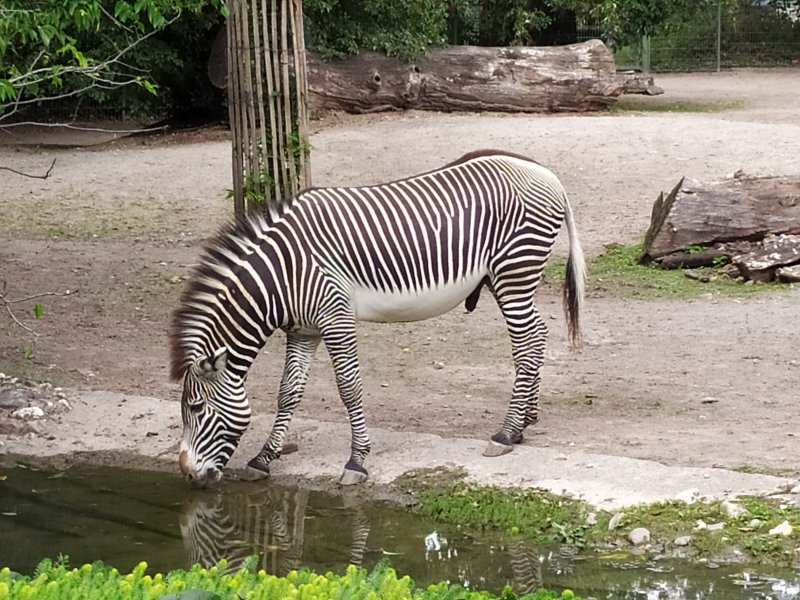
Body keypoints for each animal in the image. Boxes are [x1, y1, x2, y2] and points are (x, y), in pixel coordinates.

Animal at [171, 149, 585, 488]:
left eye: (196, 408)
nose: (188, 474)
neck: (281, 273)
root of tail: (545, 172)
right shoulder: (304, 330)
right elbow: (288, 392)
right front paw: (263, 459)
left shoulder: (335, 317)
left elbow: (349, 388)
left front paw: (356, 461)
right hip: (507, 279)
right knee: (537, 335)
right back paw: (524, 423)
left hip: (515, 271)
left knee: (527, 343)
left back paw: (506, 432)